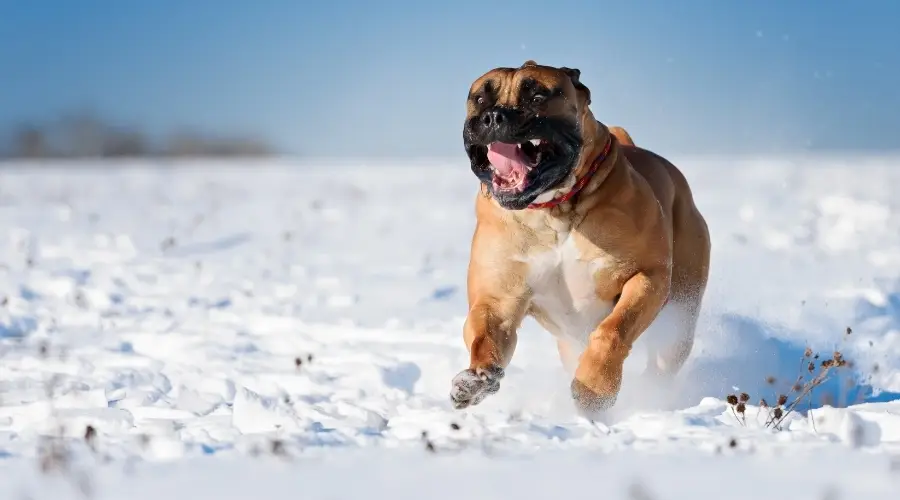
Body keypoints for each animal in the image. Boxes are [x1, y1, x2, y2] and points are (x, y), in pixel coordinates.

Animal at [450, 60, 712, 416]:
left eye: (537, 97)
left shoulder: (647, 277)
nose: (493, 116)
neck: (554, 210)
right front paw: (475, 379)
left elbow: (613, 330)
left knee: (663, 359)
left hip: (680, 318)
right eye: (480, 99)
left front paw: (595, 388)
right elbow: (484, 336)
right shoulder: (497, 298)